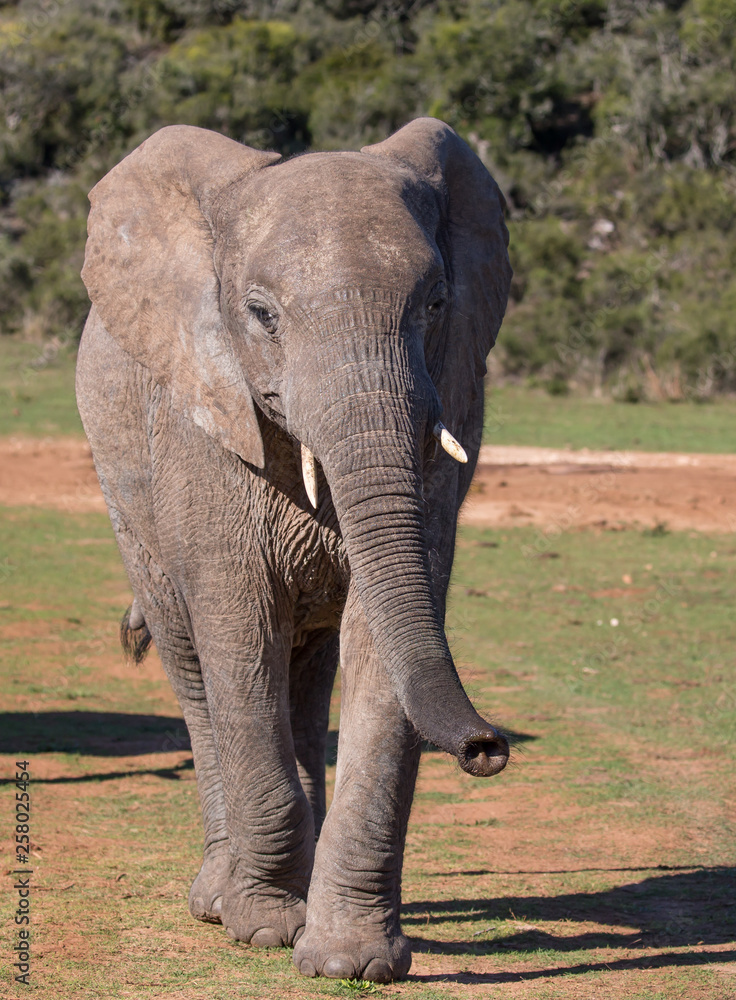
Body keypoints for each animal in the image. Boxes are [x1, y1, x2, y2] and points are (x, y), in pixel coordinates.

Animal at [75, 116, 512, 983]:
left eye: (436, 304)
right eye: (261, 314)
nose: (487, 748)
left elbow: (382, 643)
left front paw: (352, 962)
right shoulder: (204, 428)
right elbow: (239, 639)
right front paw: (265, 931)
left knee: (306, 682)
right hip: (123, 494)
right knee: (196, 670)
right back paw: (218, 899)